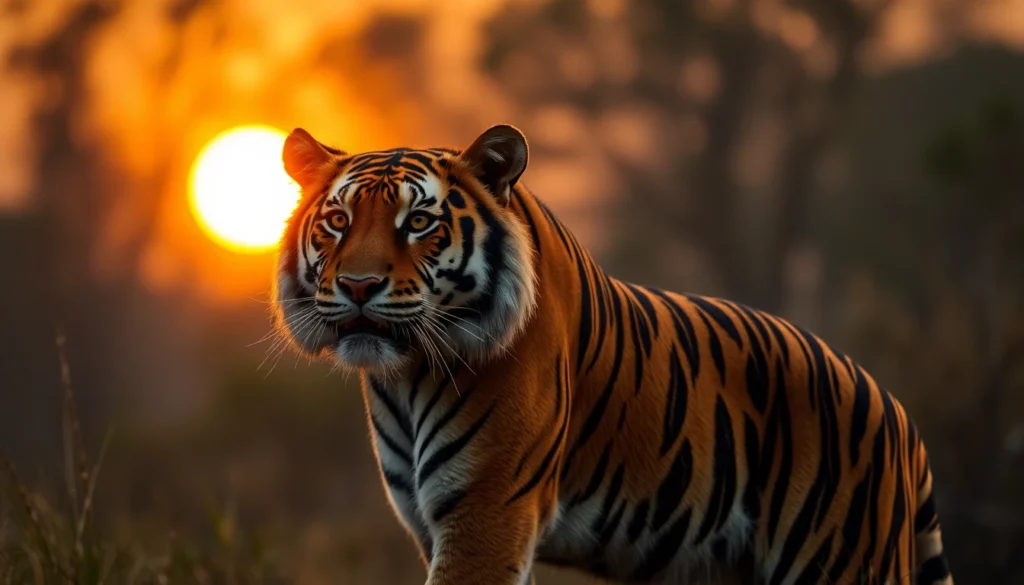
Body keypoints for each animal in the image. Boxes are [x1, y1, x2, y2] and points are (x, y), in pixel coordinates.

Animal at [271, 124, 954, 585]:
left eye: (418, 223)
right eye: (337, 221)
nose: (359, 286)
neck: (406, 377)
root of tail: (898, 415)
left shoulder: (484, 511)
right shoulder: (427, 519)